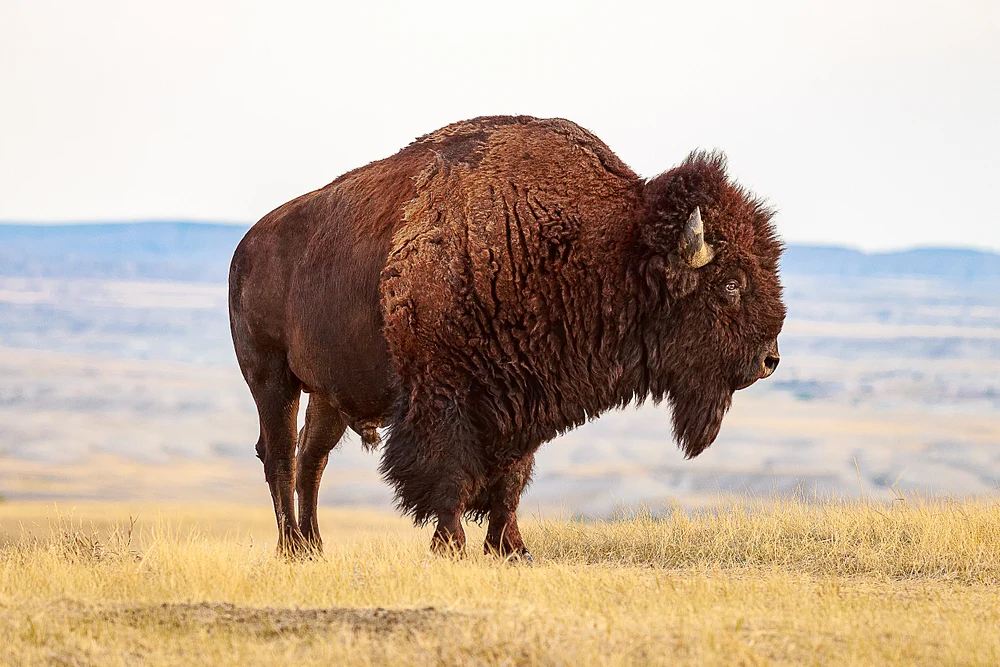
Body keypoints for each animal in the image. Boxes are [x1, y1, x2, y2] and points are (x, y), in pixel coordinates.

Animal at [229, 115, 785, 559]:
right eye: (731, 283)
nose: (769, 360)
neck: (605, 244)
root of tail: (246, 246)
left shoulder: (525, 399)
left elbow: (511, 479)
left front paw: (511, 548)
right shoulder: (444, 396)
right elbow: (449, 473)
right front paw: (451, 545)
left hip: (329, 393)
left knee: (311, 458)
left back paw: (314, 547)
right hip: (271, 378)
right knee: (280, 456)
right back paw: (290, 548)